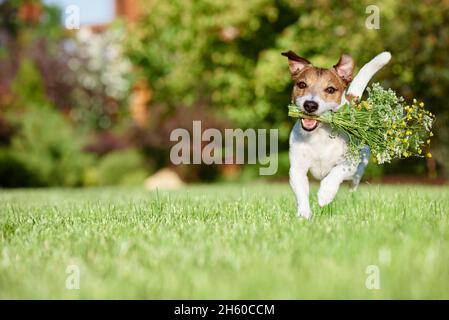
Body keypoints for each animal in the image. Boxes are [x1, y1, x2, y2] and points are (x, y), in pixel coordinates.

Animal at [282, 50, 390, 220]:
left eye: (330, 90)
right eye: (302, 85)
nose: (310, 105)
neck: (319, 134)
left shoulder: (349, 163)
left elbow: (335, 173)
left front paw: (325, 195)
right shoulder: (297, 169)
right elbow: (301, 192)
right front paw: (304, 214)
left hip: (361, 160)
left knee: (356, 176)